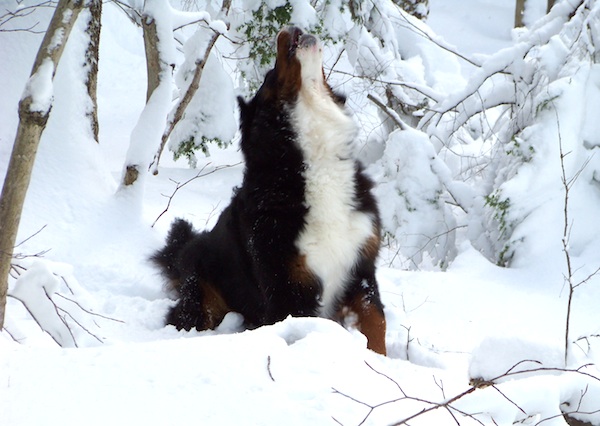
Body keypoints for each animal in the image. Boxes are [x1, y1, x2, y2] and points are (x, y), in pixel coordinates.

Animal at [152, 25, 386, 354]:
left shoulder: (361, 269)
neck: (315, 163)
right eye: (269, 74)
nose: (292, 27)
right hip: (203, 298)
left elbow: (376, 324)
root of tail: (186, 252)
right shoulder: (288, 285)